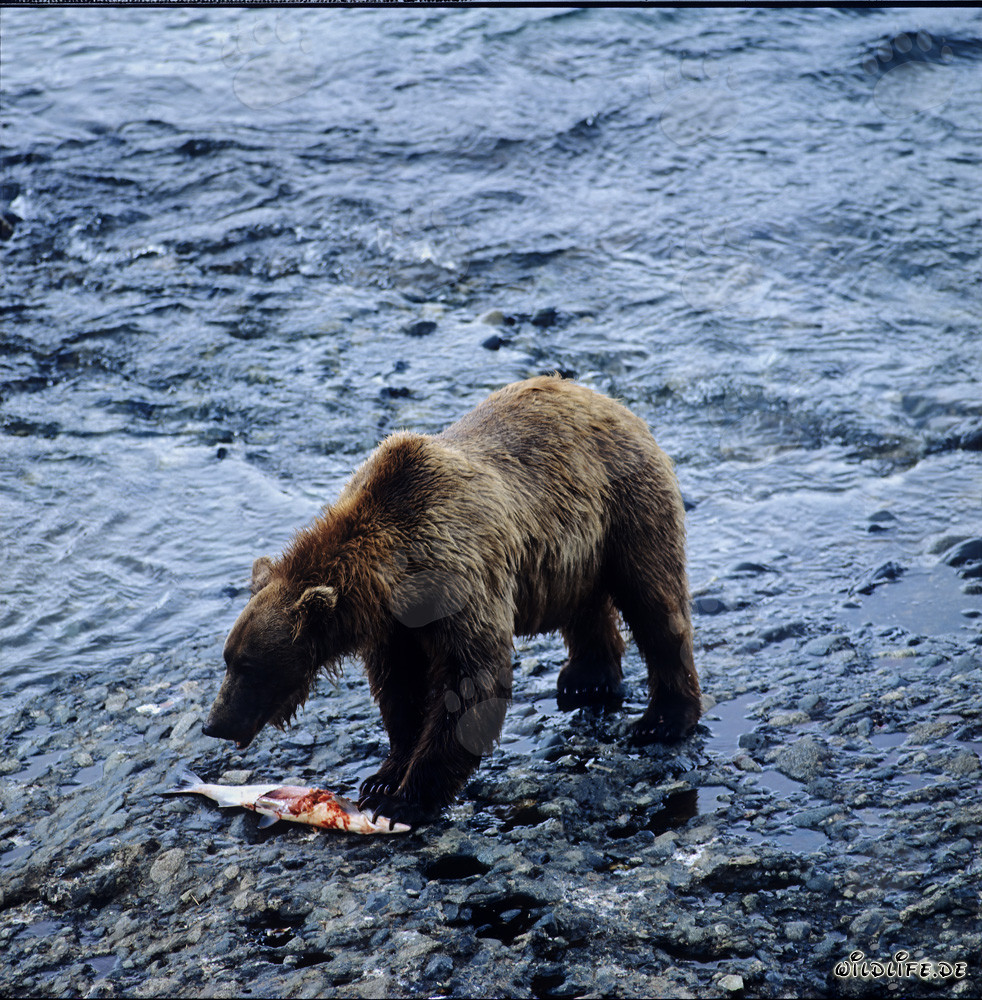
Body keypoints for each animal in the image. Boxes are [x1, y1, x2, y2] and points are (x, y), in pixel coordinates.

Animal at [203, 375, 700, 826]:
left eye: (248, 666)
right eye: (228, 659)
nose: (214, 723)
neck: (397, 576)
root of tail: (610, 401)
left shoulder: (459, 579)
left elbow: (471, 680)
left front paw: (404, 800)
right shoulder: (395, 626)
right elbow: (399, 688)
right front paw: (384, 776)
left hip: (626, 505)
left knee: (656, 604)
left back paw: (663, 718)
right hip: (573, 550)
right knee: (587, 605)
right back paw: (587, 681)